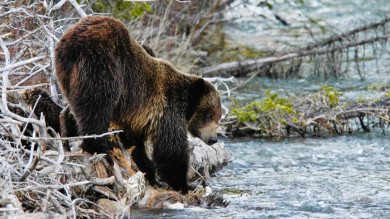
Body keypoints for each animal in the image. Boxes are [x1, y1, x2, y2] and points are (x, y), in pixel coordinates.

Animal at [54, 15, 222, 193]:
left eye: (217, 118)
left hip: (65, 75)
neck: (186, 104)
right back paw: (101, 149)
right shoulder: (168, 109)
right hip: (103, 67)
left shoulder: (137, 119)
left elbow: (135, 145)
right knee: (96, 109)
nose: (213, 139)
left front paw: (150, 173)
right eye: (209, 115)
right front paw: (184, 184)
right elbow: (170, 150)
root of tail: (73, 44)